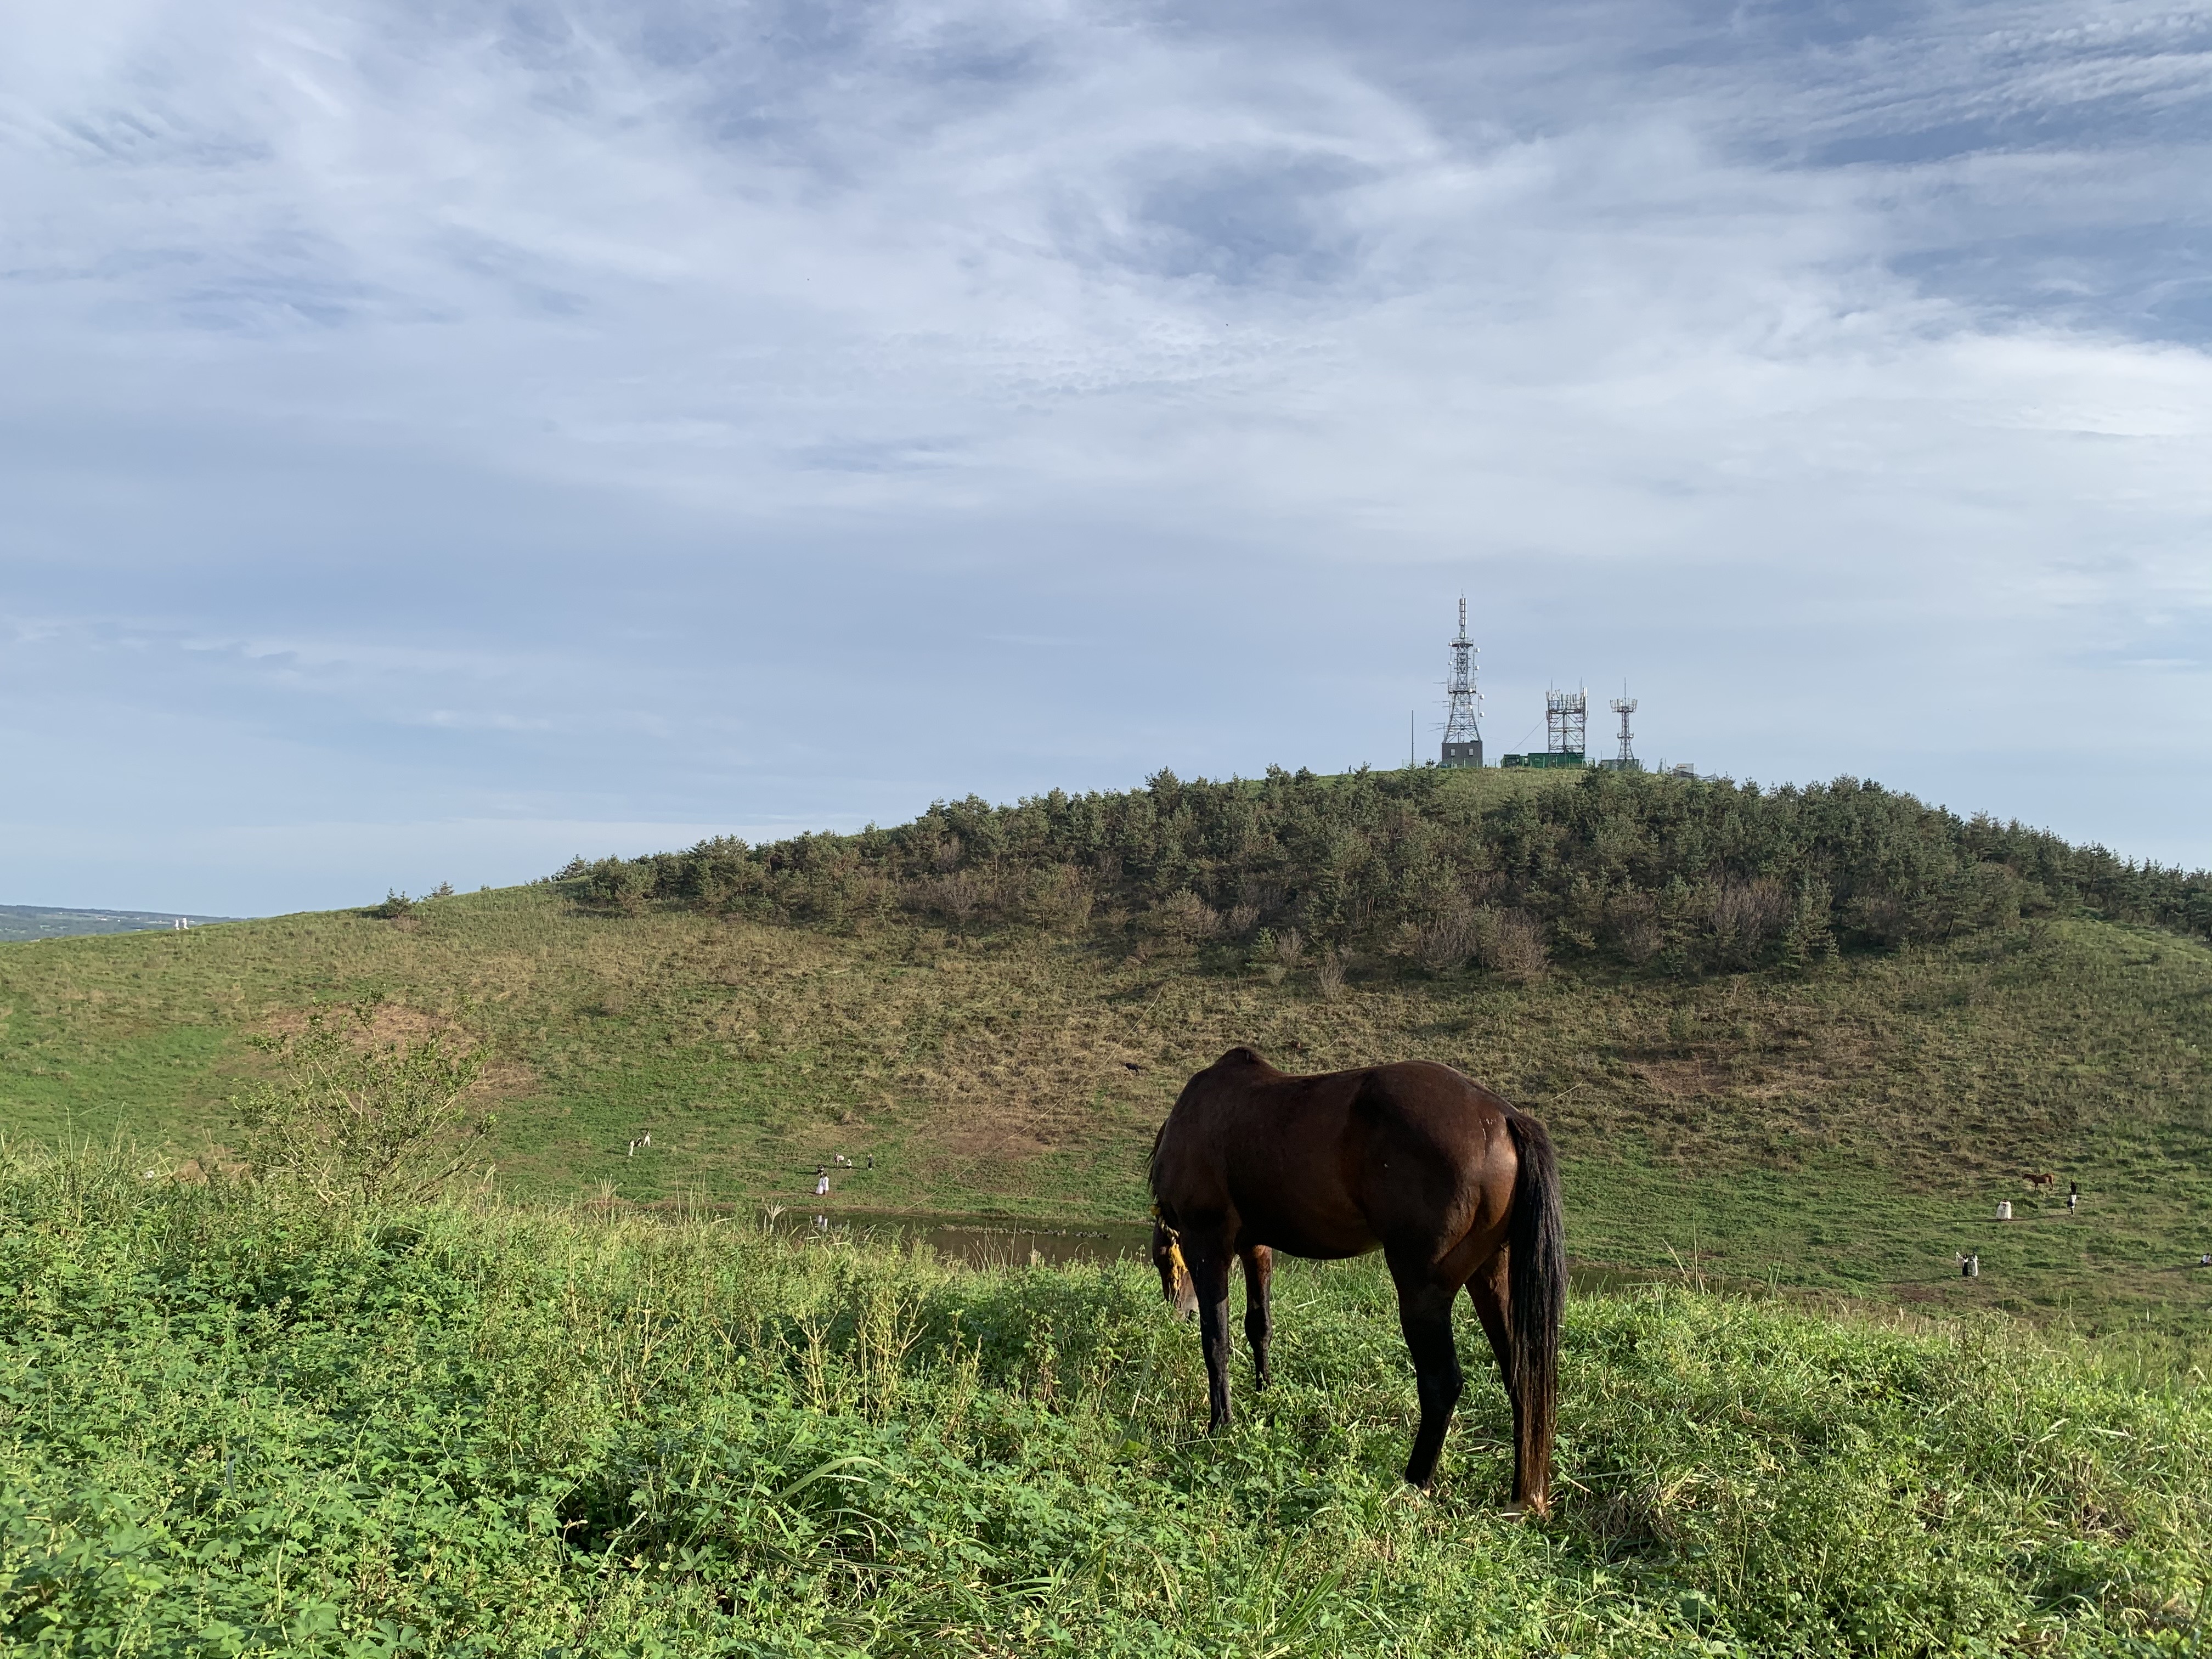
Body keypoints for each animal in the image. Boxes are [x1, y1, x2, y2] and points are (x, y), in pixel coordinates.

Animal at [1150, 1053, 1566, 1522]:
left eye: (1163, 1258)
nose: (1177, 1313)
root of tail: (1505, 1117)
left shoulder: (1209, 1244)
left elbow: (1216, 1341)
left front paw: (1220, 1425)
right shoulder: (1255, 1245)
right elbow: (1259, 1325)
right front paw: (1264, 1392)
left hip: (1422, 1292)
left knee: (1442, 1383)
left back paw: (1414, 1482)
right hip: (1492, 1279)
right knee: (1523, 1379)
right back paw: (1523, 1496)